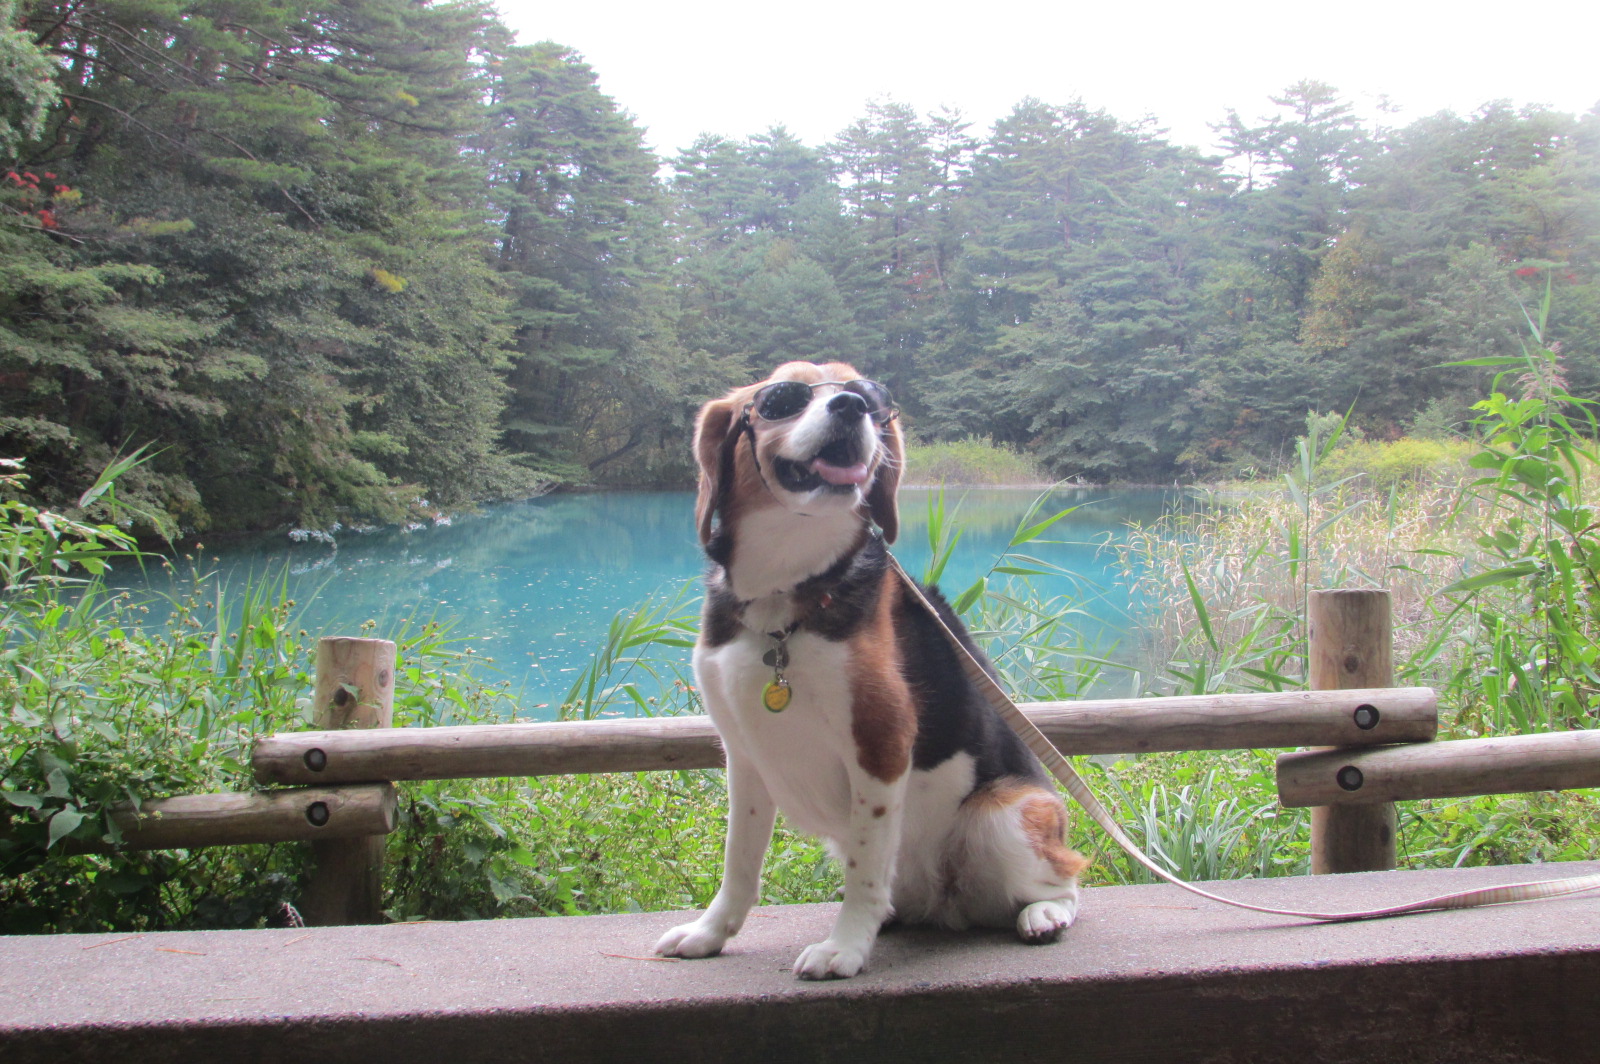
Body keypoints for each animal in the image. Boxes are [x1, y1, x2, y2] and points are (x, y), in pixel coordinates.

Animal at [652, 358, 1088, 979]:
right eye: (783, 397)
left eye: (868, 395)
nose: (851, 407)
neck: (786, 590)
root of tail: (945, 908)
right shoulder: (744, 755)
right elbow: (739, 863)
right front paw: (711, 933)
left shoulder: (880, 743)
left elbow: (865, 870)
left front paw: (844, 948)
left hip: (1005, 814)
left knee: (1067, 877)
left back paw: (1044, 914)